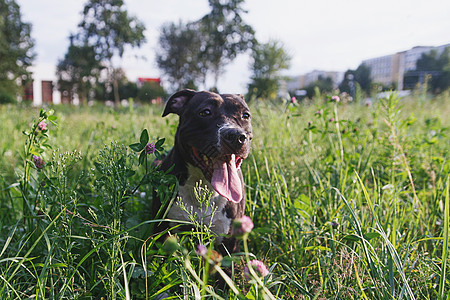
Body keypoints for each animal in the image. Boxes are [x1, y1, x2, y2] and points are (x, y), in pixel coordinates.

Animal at [153, 89, 253, 253]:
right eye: (205, 112)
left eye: (245, 115)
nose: (236, 136)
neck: (202, 186)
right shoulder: (161, 233)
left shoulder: (230, 243)